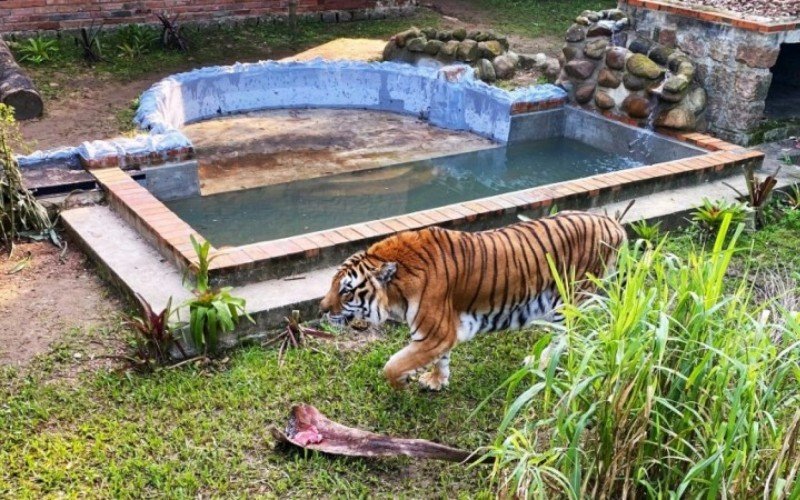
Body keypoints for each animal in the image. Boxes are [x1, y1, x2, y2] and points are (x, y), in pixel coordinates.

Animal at [318, 211, 624, 390]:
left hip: (570, 300)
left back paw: (543, 363)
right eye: (332, 285)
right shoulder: (440, 336)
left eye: (346, 292)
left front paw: (402, 382)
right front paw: (436, 381)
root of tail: (612, 223)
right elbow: (441, 360)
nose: (321, 310)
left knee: (568, 337)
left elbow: (392, 365)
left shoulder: (435, 334)